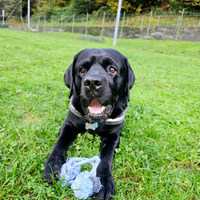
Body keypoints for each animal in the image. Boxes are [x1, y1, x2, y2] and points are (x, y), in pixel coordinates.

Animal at [43, 48, 134, 200]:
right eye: (82, 70)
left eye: (112, 69)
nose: (92, 82)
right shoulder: (68, 126)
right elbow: (59, 144)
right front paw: (53, 164)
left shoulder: (114, 136)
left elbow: (106, 158)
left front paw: (104, 181)